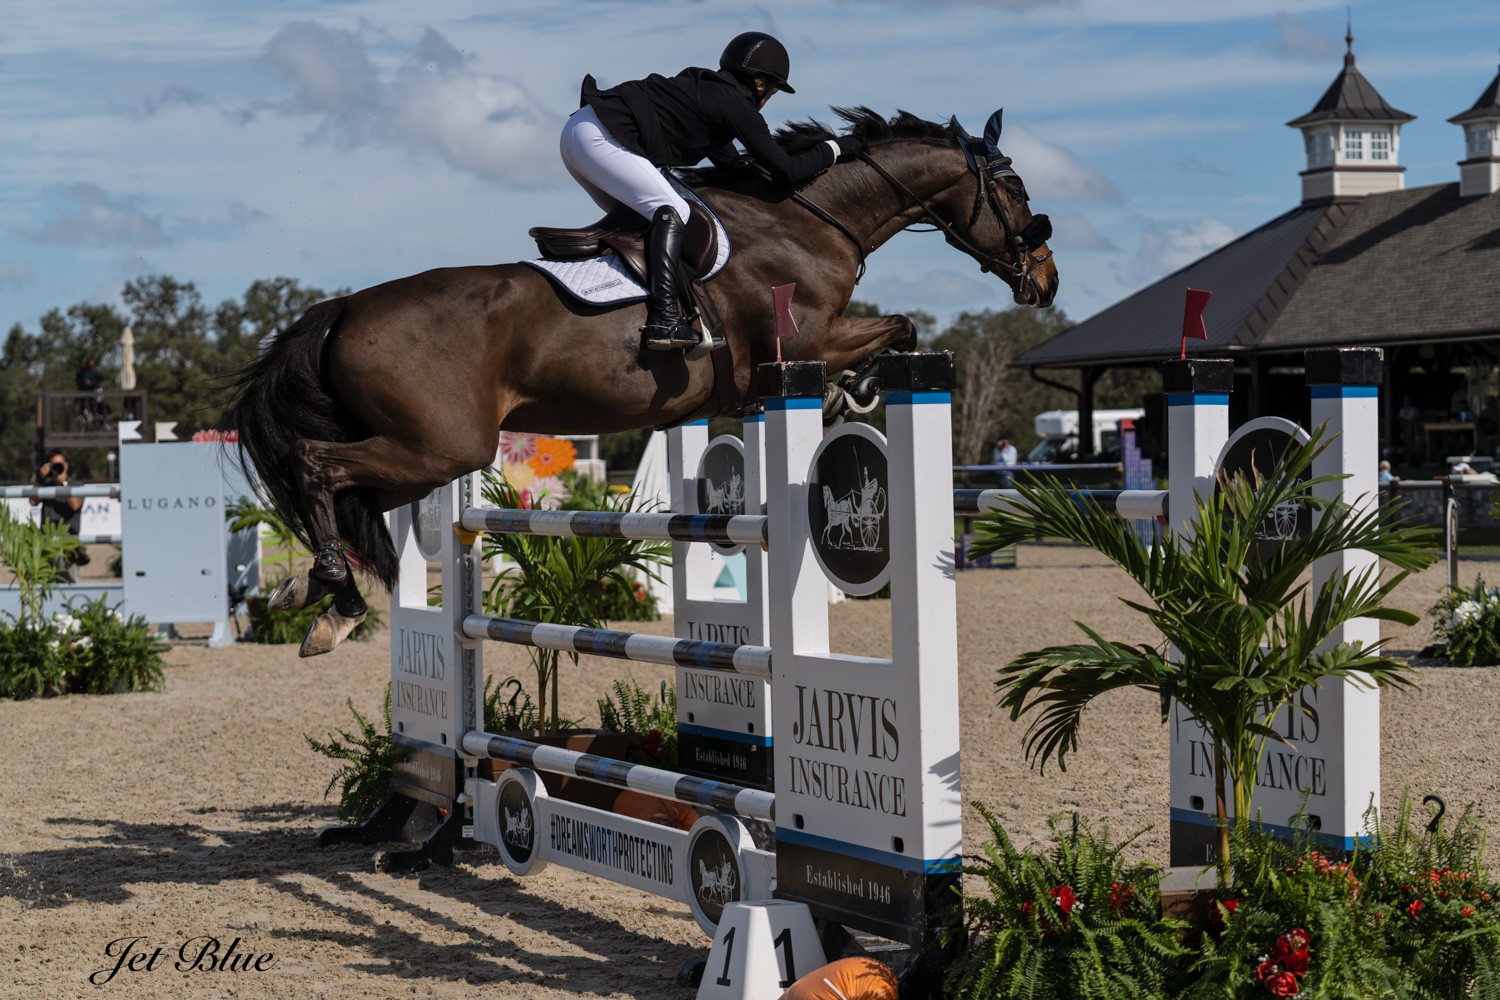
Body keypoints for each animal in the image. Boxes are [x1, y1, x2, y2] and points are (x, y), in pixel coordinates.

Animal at [227, 106, 1058, 656]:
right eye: (1015, 189)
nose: (1045, 280)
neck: (808, 220)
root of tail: (340, 309)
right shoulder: (801, 340)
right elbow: (901, 329)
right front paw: (851, 392)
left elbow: (891, 331)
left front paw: (844, 393)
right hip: (447, 446)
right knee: (317, 466)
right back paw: (331, 597)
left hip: (421, 451)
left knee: (349, 494)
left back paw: (309, 595)